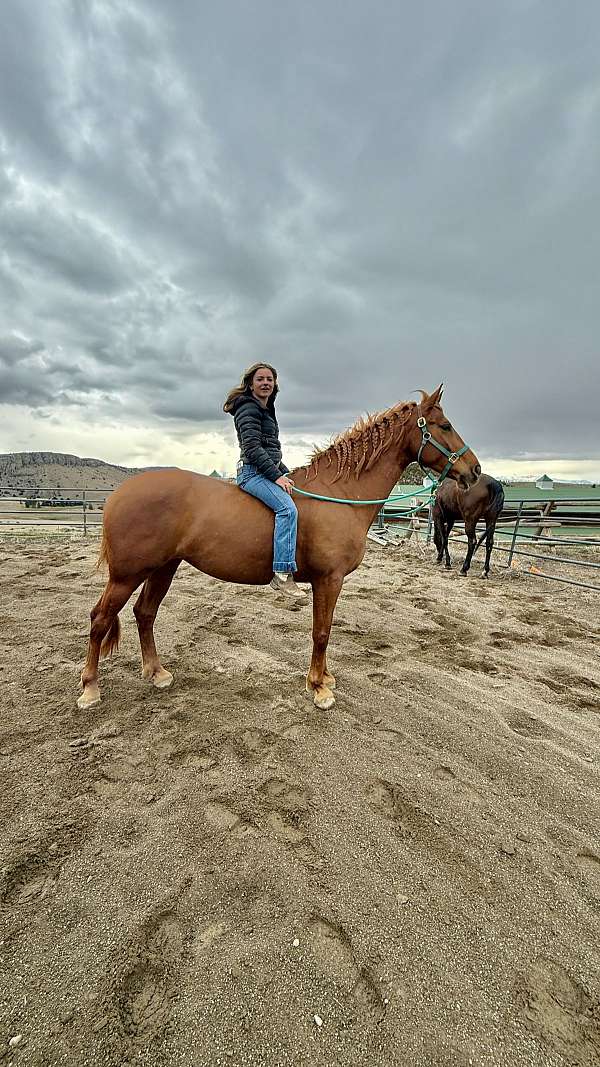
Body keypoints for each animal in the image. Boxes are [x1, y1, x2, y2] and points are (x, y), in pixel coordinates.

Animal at [77, 384, 480, 713]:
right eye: (444, 425)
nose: (475, 470)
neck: (340, 495)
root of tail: (119, 494)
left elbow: (324, 630)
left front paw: (325, 678)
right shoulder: (328, 580)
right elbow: (322, 632)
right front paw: (318, 688)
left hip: (164, 567)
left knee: (144, 614)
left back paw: (156, 672)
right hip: (127, 575)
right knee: (100, 619)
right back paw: (90, 689)